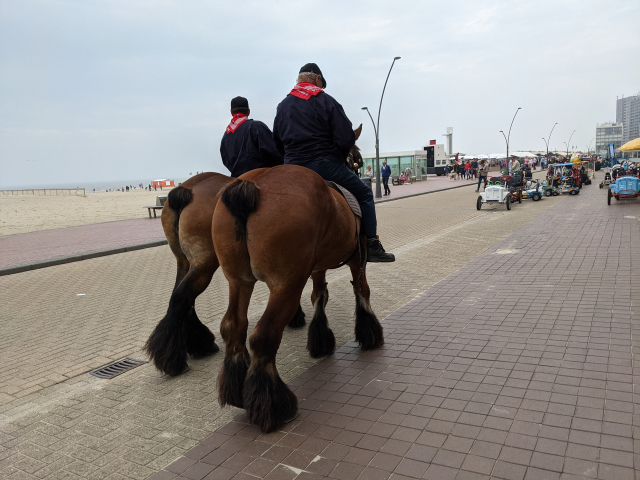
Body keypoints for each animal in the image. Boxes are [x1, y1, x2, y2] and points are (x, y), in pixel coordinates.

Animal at [146, 171, 306, 376]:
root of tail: (186, 190)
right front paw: (296, 317)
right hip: (204, 263)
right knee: (182, 297)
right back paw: (174, 358)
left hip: (185, 262)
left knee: (182, 298)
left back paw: (198, 344)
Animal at [215, 163, 382, 434]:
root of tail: (252, 186)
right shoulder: (359, 256)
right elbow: (361, 289)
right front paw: (369, 332)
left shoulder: (318, 265)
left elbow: (319, 295)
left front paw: (321, 339)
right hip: (287, 285)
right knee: (264, 336)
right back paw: (274, 405)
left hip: (238, 281)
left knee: (233, 327)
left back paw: (238, 392)